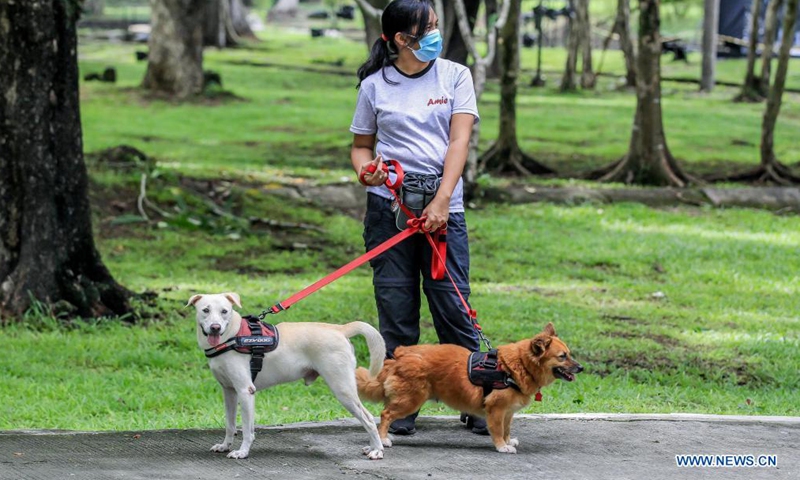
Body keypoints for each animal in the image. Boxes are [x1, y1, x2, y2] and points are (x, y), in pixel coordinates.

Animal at [189, 290, 386, 460]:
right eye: (205, 310)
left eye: (224, 311)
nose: (215, 328)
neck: (231, 336)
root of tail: (340, 329)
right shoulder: (229, 391)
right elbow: (230, 425)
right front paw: (225, 446)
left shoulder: (246, 391)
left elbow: (246, 429)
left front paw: (242, 452)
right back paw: (372, 447)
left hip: (343, 389)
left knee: (368, 419)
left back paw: (377, 450)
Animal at [356, 322, 580, 454]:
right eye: (562, 356)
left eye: (569, 354)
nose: (581, 368)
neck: (518, 366)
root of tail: (400, 355)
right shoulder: (496, 409)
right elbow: (498, 430)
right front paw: (501, 446)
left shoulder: (508, 412)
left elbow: (507, 429)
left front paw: (508, 441)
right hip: (410, 400)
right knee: (385, 414)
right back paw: (383, 439)